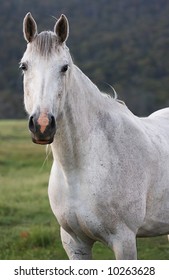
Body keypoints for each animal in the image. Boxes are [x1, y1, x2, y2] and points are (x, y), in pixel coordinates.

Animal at [20, 12, 169, 258]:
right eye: (24, 66)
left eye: (65, 67)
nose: (42, 125)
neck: (79, 168)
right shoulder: (74, 244)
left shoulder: (124, 241)